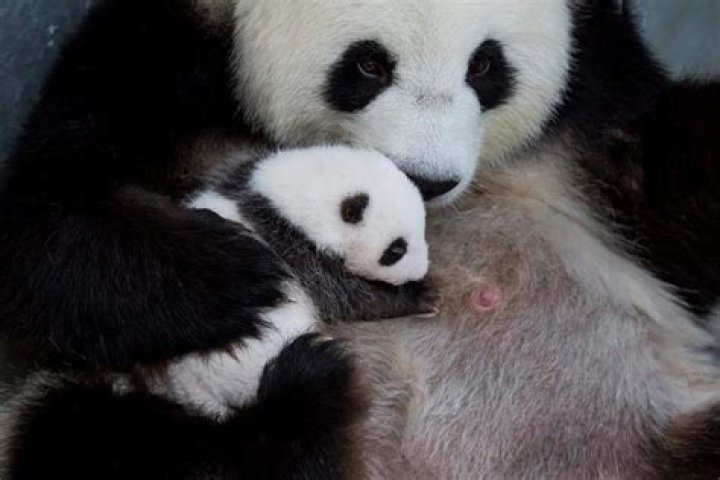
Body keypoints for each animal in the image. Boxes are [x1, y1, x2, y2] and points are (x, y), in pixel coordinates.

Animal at [2, 0, 720, 478]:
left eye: (486, 65)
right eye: (369, 65)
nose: (427, 180)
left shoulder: (596, 87)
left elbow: (671, 230)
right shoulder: (154, 61)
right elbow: (47, 233)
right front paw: (237, 277)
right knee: (94, 441)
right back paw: (302, 405)